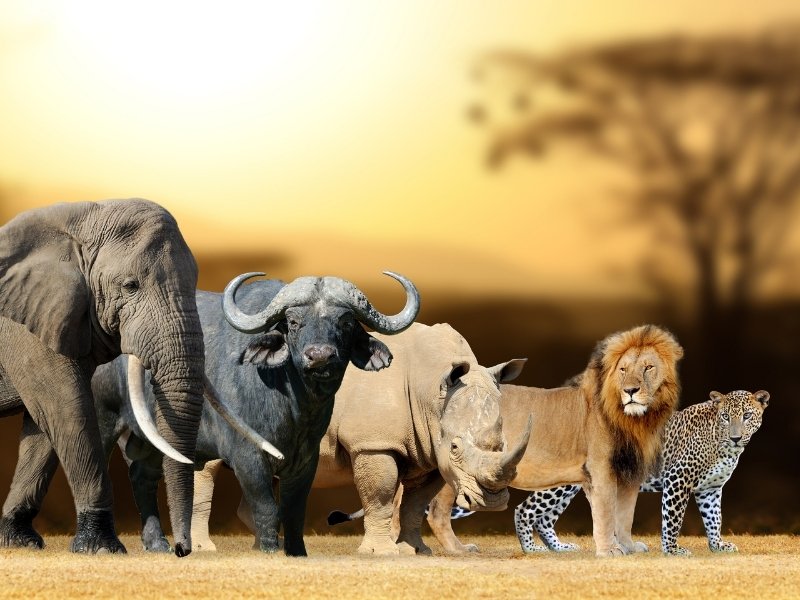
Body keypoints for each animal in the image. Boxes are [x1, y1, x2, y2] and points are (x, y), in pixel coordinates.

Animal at [0, 199, 207, 556]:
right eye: (130, 286)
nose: (181, 550)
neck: (81, 220)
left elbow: (42, 426)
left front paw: (20, 542)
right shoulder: (27, 329)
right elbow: (67, 410)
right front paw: (101, 548)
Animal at [424, 324, 683, 557]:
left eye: (648, 367)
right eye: (623, 369)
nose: (630, 390)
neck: (636, 420)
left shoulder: (629, 472)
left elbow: (624, 516)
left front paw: (628, 547)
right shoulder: (601, 470)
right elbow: (606, 514)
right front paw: (609, 550)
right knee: (436, 511)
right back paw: (457, 549)